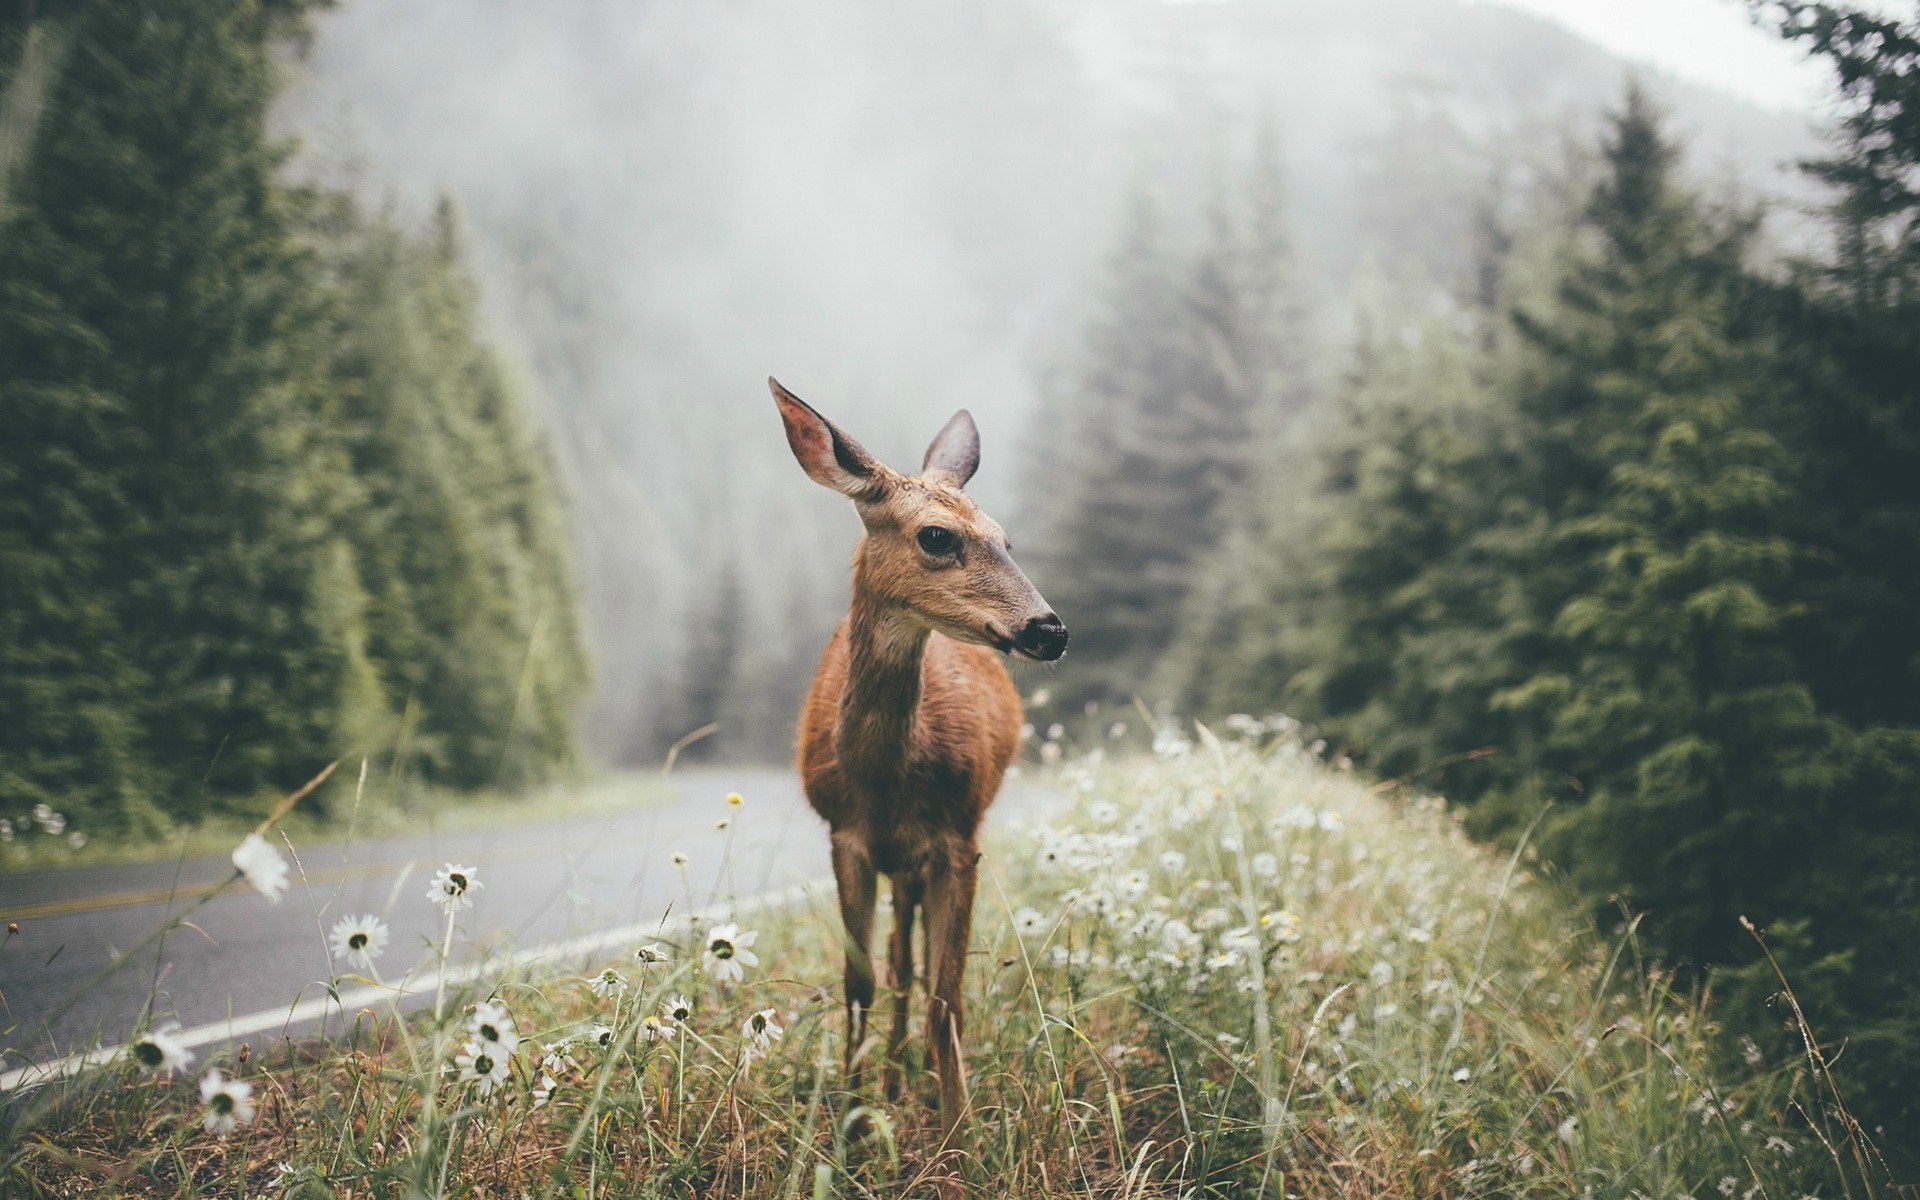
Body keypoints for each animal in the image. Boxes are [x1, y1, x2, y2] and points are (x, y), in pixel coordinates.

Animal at [770, 376, 1069, 1155]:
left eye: (1006, 539)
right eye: (937, 536)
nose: (1050, 629)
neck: (882, 784)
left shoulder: (958, 839)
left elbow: (947, 994)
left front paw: (959, 1138)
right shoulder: (845, 837)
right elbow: (860, 984)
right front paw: (849, 1127)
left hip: (925, 855)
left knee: (919, 967)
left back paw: (916, 1080)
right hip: (895, 861)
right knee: (898, 961)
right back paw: (894, 1081)